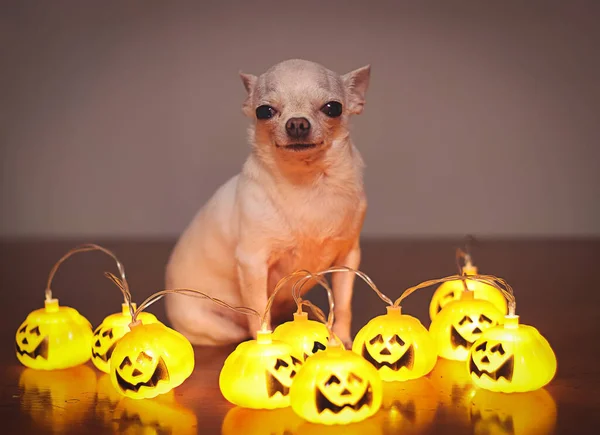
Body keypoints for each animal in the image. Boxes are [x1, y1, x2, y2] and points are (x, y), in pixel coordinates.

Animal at [165, 58, 370, 348]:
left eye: (333, 108)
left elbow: (342, 303)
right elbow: (259, 310)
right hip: (216, 326)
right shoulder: (253, 264)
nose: (297, 123)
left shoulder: (348, 259)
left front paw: (341, 338)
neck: (306, 183)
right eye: (264, 111)